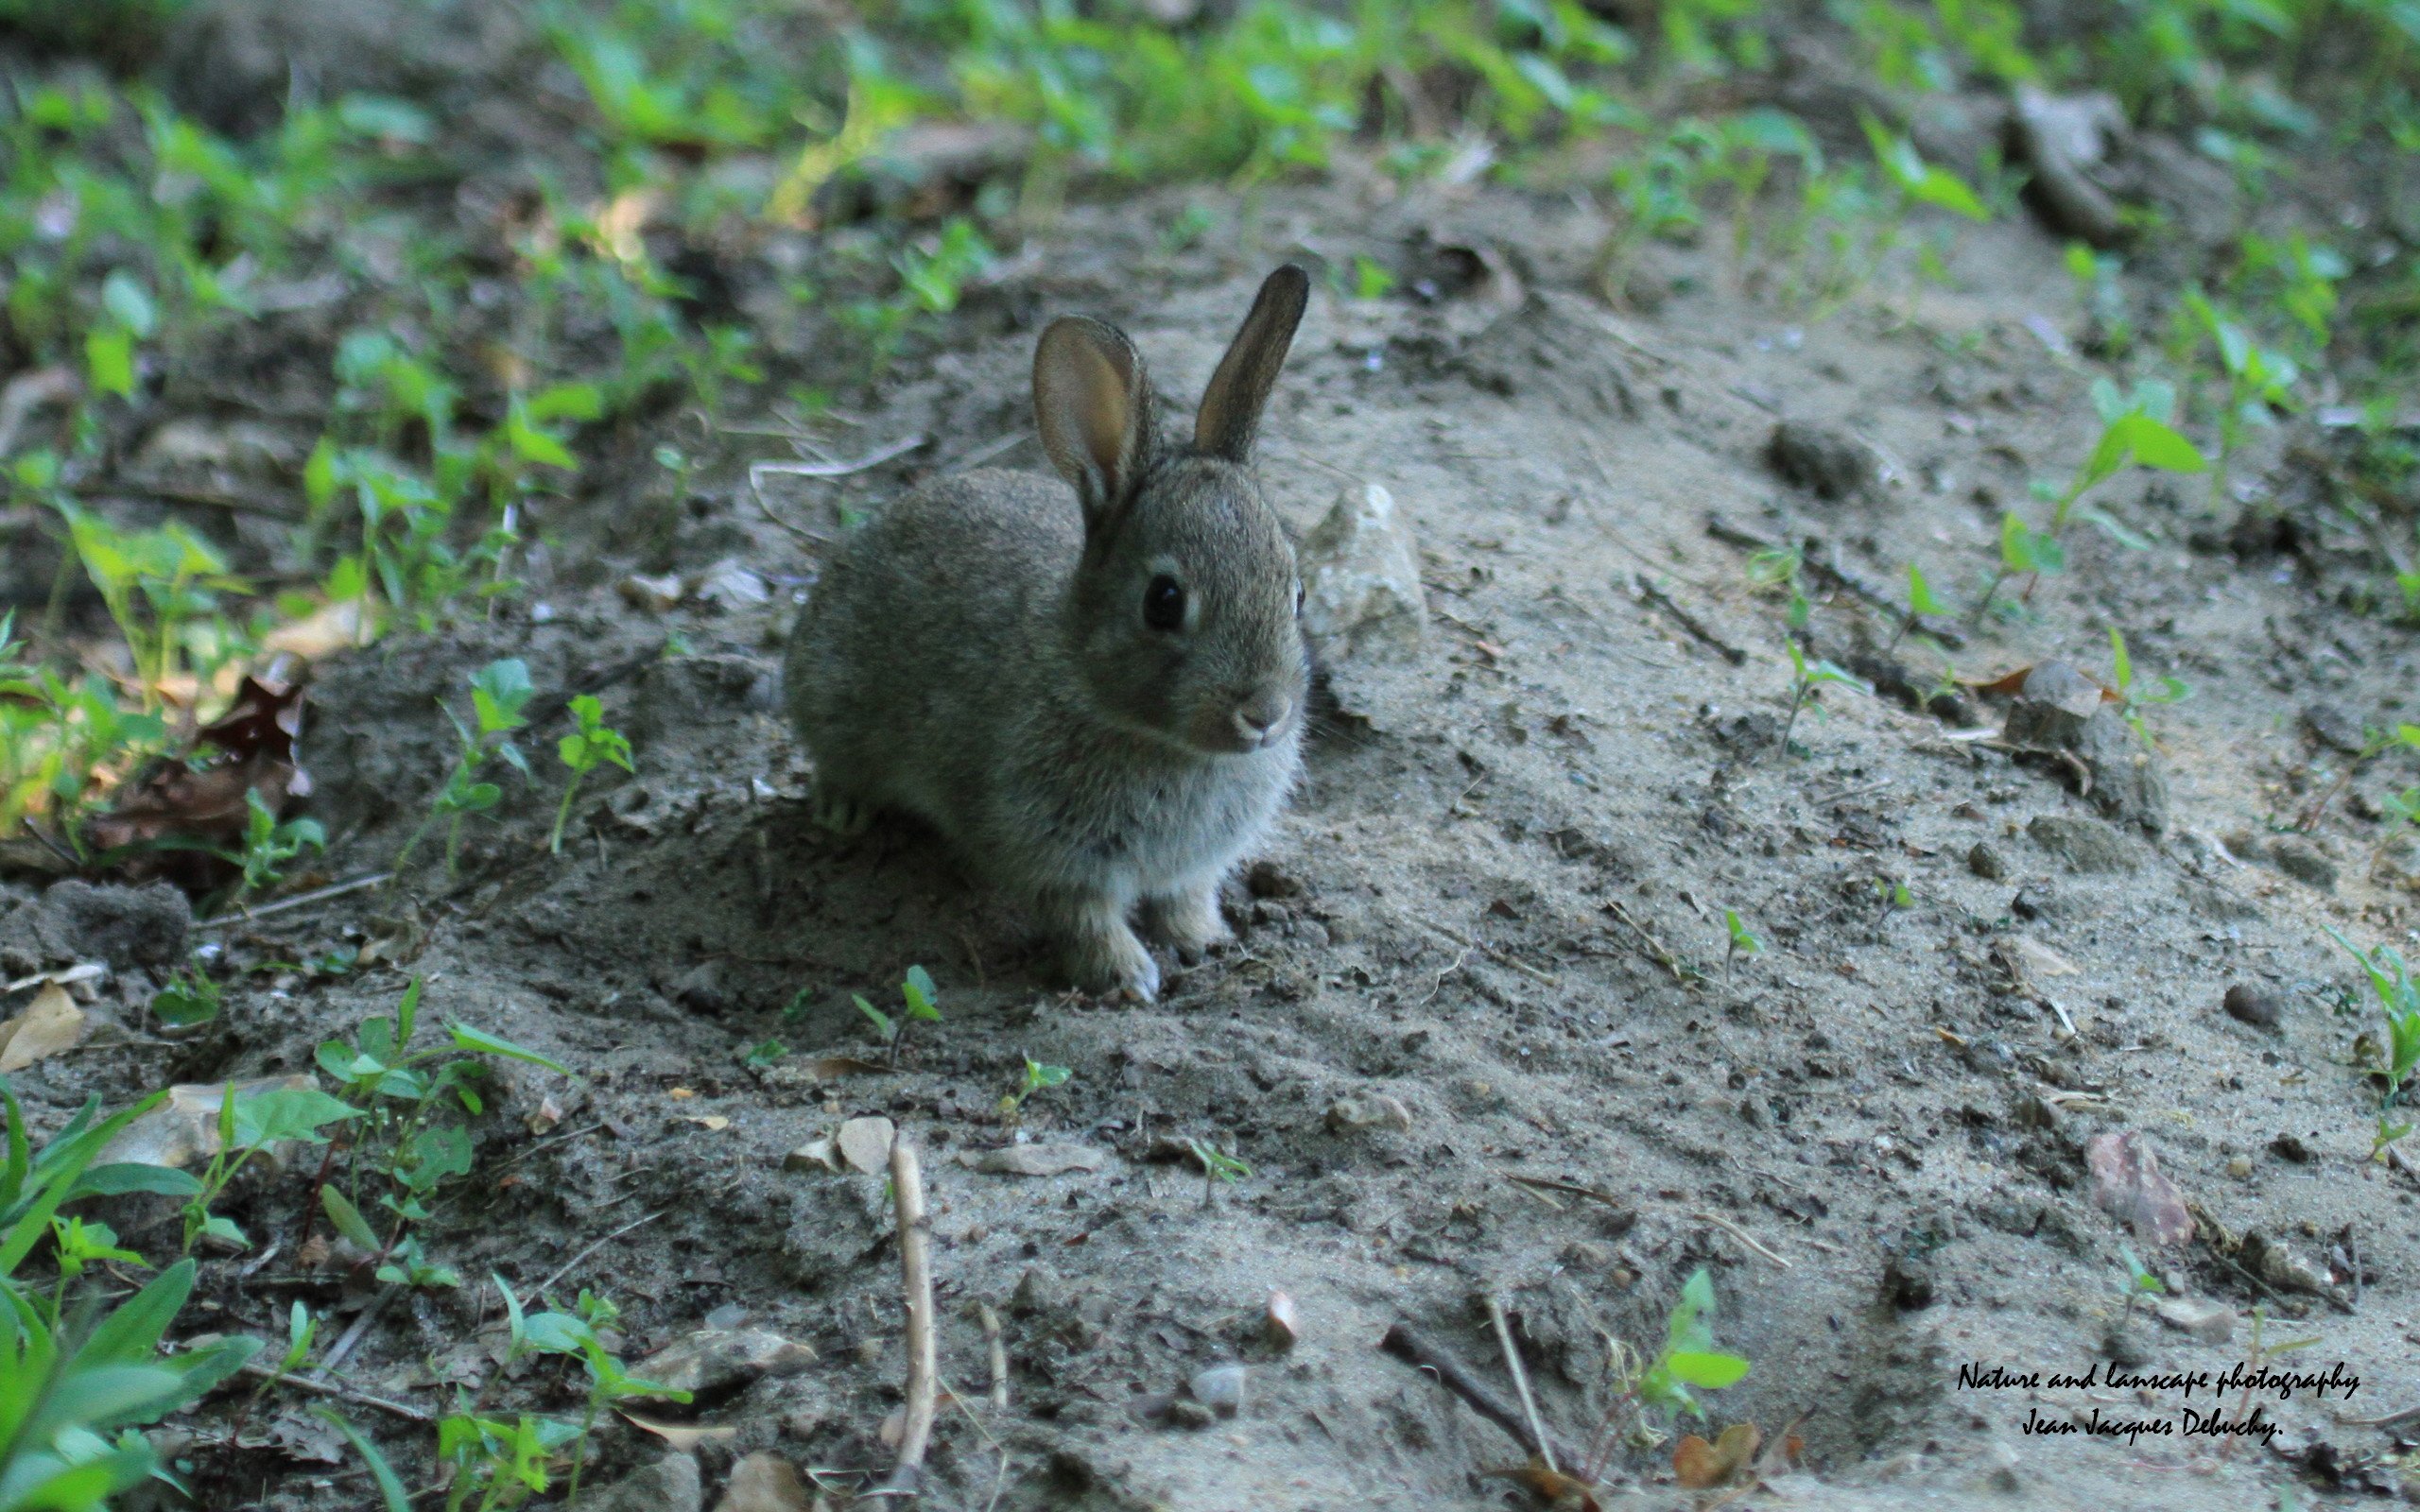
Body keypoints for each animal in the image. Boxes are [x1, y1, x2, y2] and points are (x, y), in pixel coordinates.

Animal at [784, 268, 1316, 1001]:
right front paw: (1126, 976)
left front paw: (1206, 941)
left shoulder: (1191, 865)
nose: (1265, 714)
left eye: (1297, 593)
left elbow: (1185, 898)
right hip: (831, 694)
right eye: (1163, 603)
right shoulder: (1048, 853)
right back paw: (842, 809)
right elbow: (1081, 916)